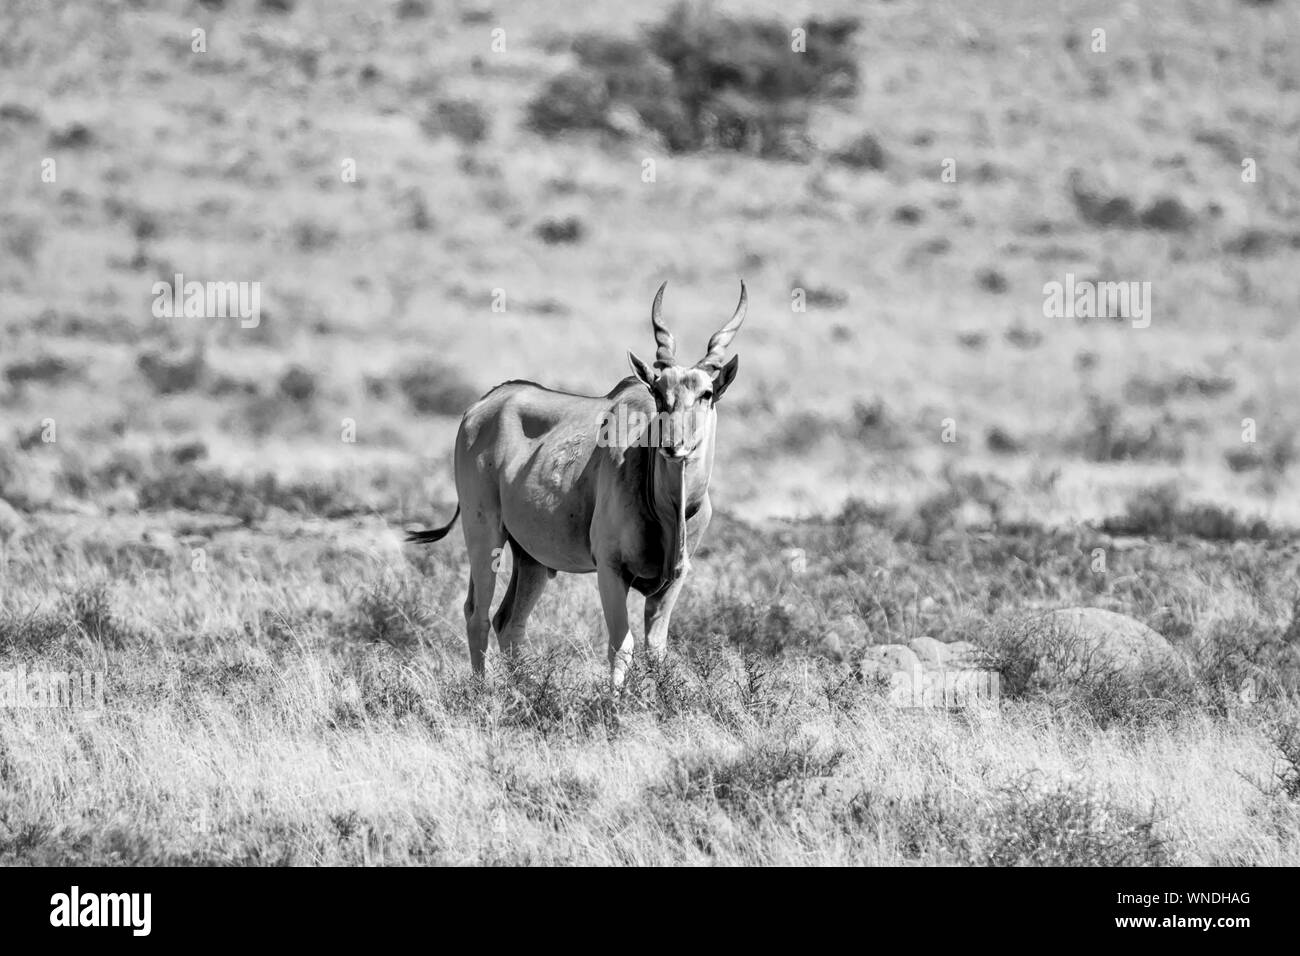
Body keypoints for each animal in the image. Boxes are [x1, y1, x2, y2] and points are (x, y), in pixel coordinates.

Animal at [410, 280, 748, 686]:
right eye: (657, 393)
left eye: (706, 394)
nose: (673, 445)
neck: (669, 508)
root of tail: (479, 407)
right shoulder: (610, 569)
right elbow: (621, 646)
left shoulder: (673, 580)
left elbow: (656, 651)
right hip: (484, 534)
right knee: (477, 615)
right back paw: (482, 692)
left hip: (532, 558)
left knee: (509, 622)